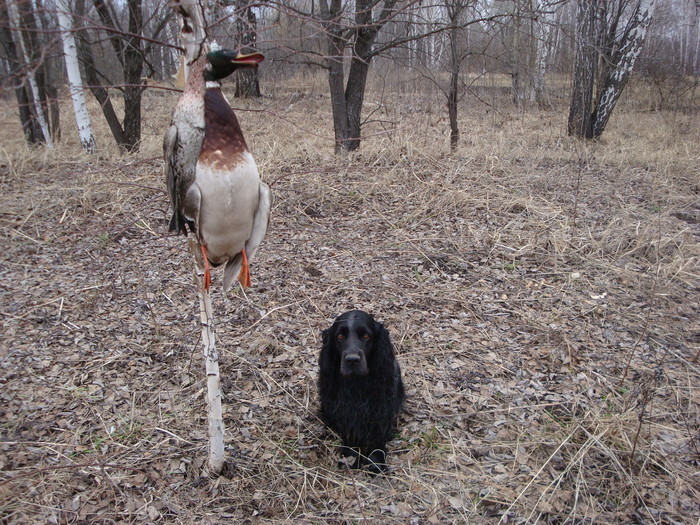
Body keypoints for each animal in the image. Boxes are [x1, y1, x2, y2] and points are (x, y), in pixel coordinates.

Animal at [318, 310, 404, 472]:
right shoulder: (343, 410)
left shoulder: (381, 408)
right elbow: (348, 431)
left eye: (365, 336)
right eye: (340, 337)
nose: (352, 360)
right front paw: (350, 457)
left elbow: (378, 435)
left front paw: (376, 462)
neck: (357, 383)